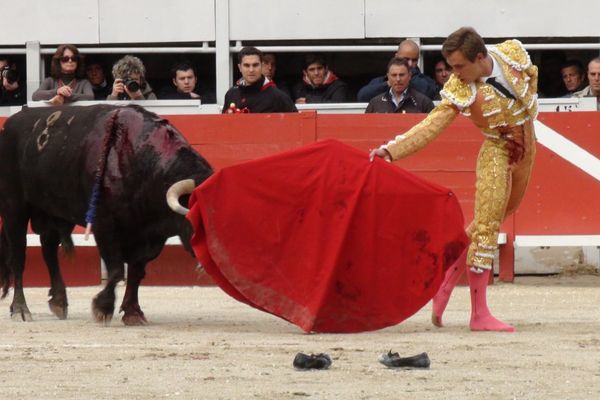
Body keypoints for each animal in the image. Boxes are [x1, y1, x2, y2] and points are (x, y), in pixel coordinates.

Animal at [0, 104, 213, 324]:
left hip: (52, 211)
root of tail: (12, 123)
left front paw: (133, 312)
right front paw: (102, 307)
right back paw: (20, 309)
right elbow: (117, 270)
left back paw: (59, 301)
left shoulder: (150, 236)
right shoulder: (104, 226)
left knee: (49, 250)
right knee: (18, 257)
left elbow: (136, 271)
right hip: (14, 208)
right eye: (197, 219)